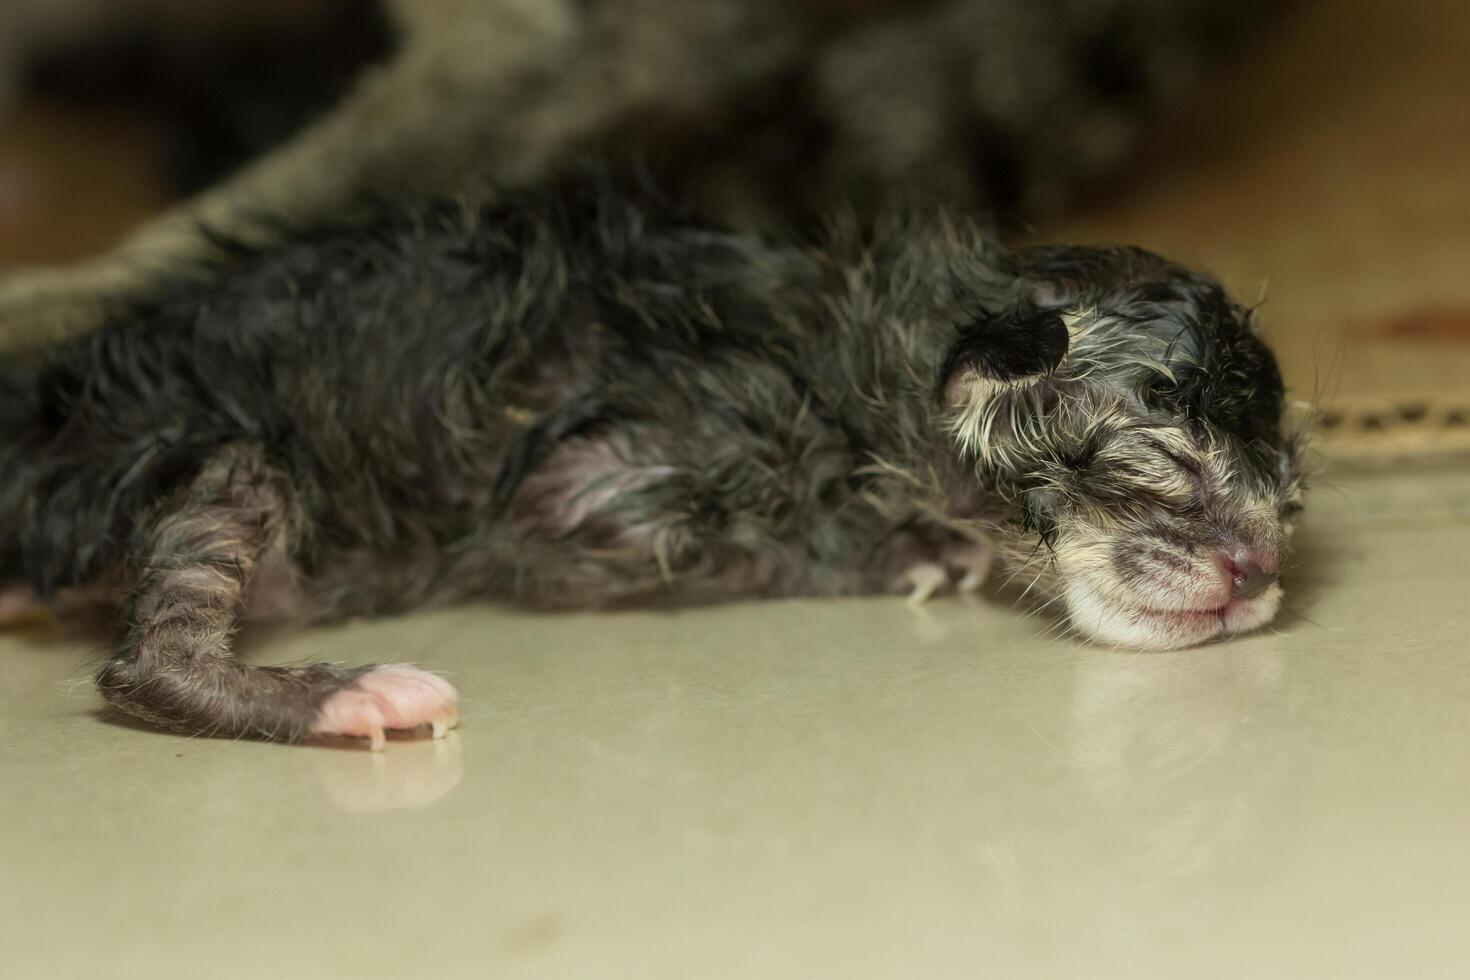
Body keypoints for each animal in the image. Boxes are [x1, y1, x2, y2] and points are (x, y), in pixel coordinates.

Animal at [2, 178, 1311, 743]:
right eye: (1169, 464)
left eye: (1289, 502)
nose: (1258, 573)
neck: (855, 355)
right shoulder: (595, 487)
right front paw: (906, 546)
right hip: (216, 451)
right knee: (145, 661)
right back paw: (338, 698)